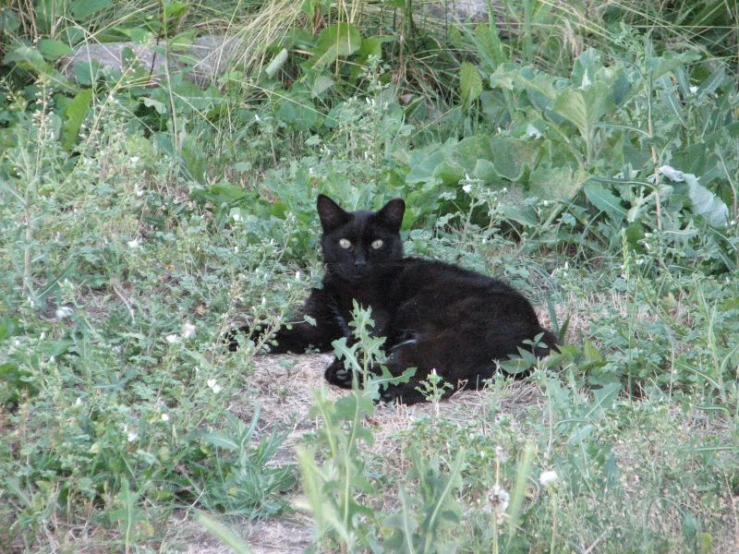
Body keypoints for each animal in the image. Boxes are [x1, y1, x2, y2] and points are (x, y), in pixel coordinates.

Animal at [228, 194, 556, 402]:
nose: (359, 263)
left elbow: (357, 343)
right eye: (344, 243)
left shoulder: (373, 324)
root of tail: (538, 331)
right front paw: (232, 337)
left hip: (433, 324)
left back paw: (351, 377)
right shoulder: (318, 327)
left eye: (376, 243)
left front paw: (345, 364)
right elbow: (274, 330)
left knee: (425, 374)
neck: (347, 287)